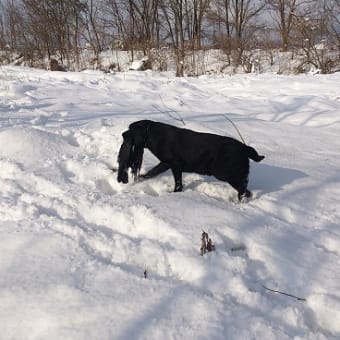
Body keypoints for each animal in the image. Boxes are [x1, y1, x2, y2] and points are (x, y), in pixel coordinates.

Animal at [118, 119, 264, 201]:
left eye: (131, 129)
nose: (123, 133)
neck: (154, 134)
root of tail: (244, 147)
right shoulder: (166, 163)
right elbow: (152, 172)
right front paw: (141, 179)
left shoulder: (175, 164)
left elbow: (178, 183)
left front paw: (176, 193)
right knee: (245, 188)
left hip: (225, 173)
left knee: (243, 188)